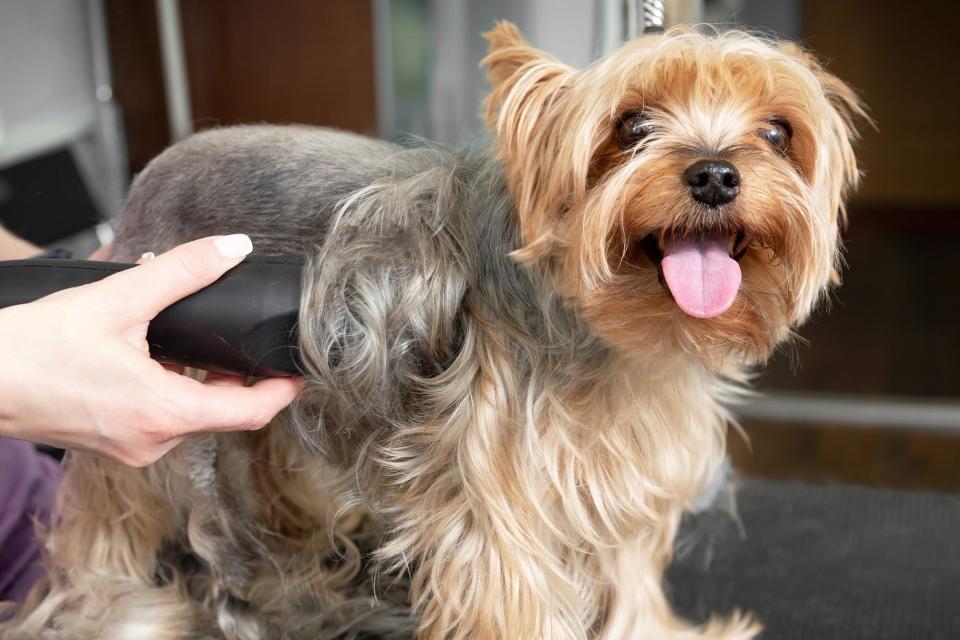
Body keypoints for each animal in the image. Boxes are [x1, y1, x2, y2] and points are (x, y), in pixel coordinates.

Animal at [1, 21, 864, 640]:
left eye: (779, 133)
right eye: (632, 124)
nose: (716, 173)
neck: (622, 341)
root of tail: (145, 178)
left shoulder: (627, 475)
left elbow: (631, 578)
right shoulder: (493, 485)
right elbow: (506, 585)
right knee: (106, 514)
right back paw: (117, 610)